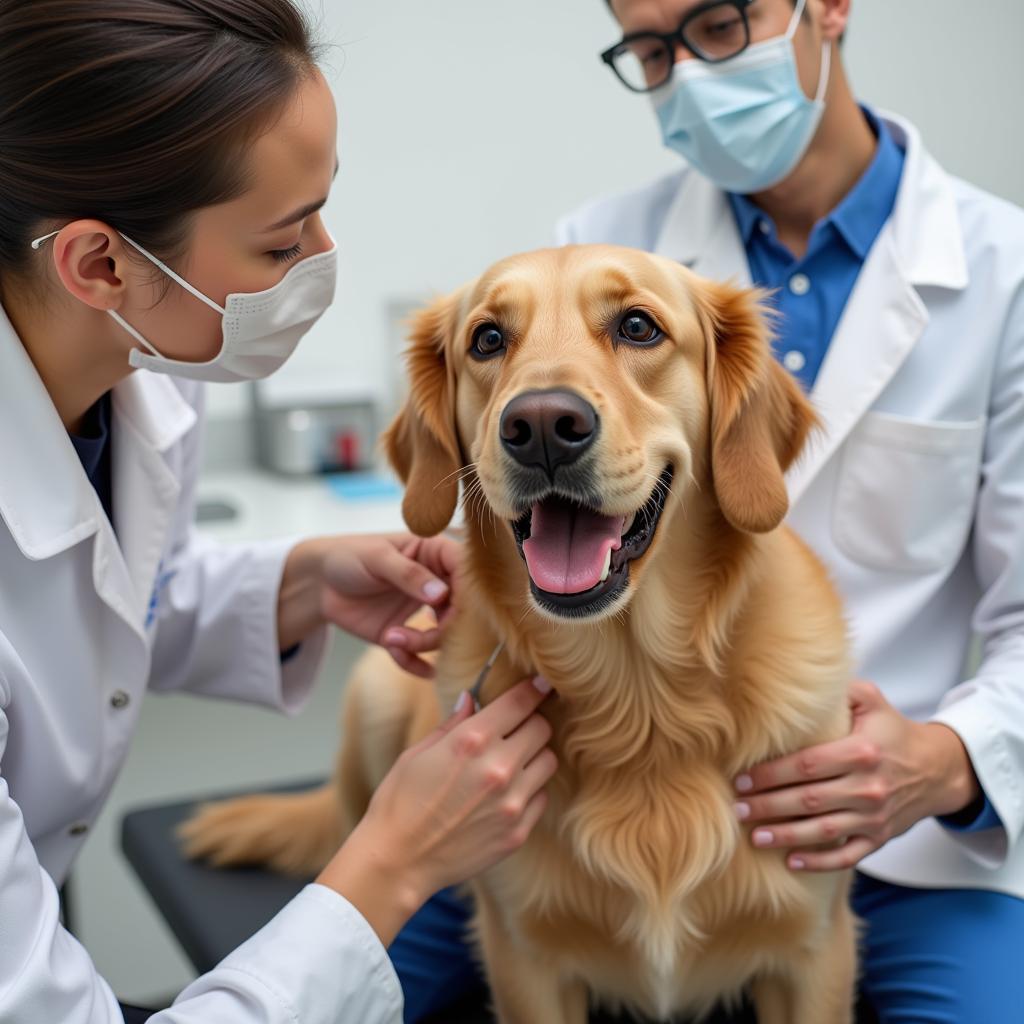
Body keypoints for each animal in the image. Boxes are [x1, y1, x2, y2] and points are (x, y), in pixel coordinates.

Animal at [184, 243, 856, 1019]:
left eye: (638, 327)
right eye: (487, 340)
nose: (539, 426)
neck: (643, 703)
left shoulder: (813, 952)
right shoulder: (526, 959)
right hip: (372, 691)